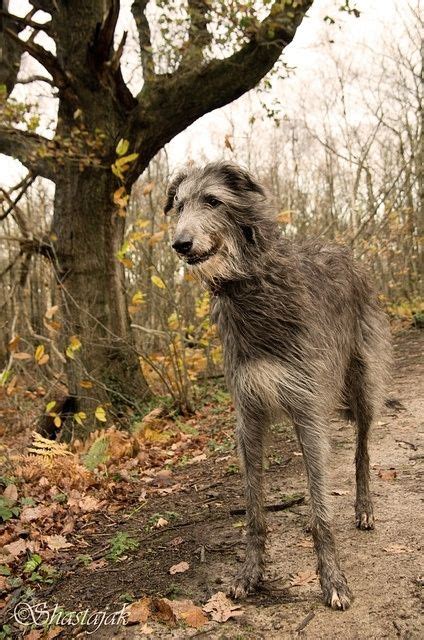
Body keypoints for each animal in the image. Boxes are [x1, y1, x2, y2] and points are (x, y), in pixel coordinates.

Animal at [165, 160, 390, 608]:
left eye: (212, 200)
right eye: (178, 205)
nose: (180, 244)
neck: (252, 287)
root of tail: (347, 252)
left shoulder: (307, 407)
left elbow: (322, 510)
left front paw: (333, 580)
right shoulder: (248, 414)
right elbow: (255, 509)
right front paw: (250, 574)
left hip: (361, 384)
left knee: (361, 451)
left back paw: (364, 507)